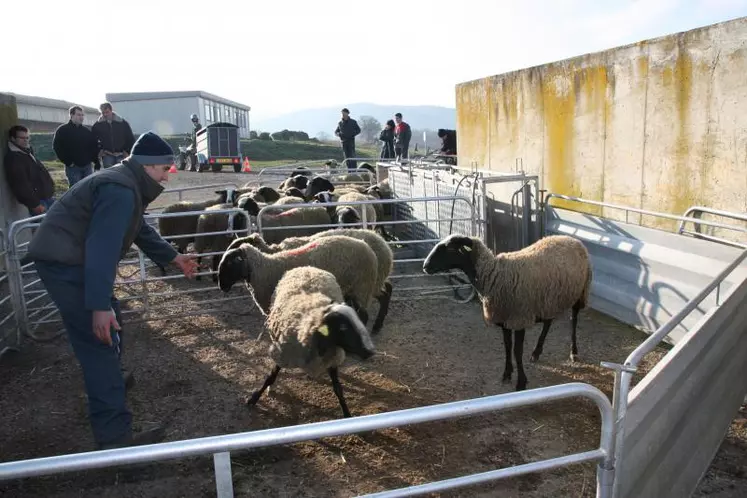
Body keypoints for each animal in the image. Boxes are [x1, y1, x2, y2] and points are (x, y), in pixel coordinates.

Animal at [245, 266, 376, 418]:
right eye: (343, 328)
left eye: (359, 320)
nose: (370, 351)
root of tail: (307, 267)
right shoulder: (282, 353)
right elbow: (270, 377)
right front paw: (254, 399)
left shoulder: (332, 360)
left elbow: (338, 389)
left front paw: (347, 414)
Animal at [424, 233, 592, 392]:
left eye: (450, 249)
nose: (425, 266)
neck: (495, 275)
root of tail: (572, 239)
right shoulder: (504, 318)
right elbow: (507, 346)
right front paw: (507, 373)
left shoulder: (519, 318)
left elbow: (517, 351)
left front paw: (521, 382)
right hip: (549, 300)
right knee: (548, 322)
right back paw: (536, 352)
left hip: (580, 292)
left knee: (573, 320)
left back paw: (573, 352)